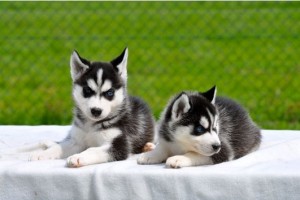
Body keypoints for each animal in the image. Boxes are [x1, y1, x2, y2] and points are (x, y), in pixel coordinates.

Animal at [2, 47, 155, 166]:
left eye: (109, 93)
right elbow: (59, 147)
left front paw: (78, 157)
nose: (96, 111)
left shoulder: (119, 144)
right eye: (87, 90)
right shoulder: (76, 141)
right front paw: (42, 154)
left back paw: (148, 147)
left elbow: (93, 150)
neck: (91, 125)